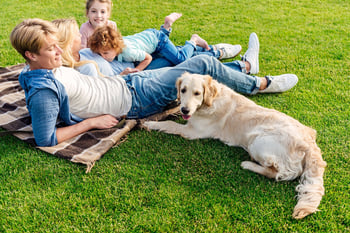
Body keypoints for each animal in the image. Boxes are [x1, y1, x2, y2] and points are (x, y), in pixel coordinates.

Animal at [144, 72, 326, 219]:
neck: (210, 101)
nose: (185, 110)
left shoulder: (192, 132)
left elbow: (169, 124)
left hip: (257, 141)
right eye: (183, 90)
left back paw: (248, 164)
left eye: (197, 93)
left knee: (277, 173)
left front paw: (150, 123)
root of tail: (310, 144)